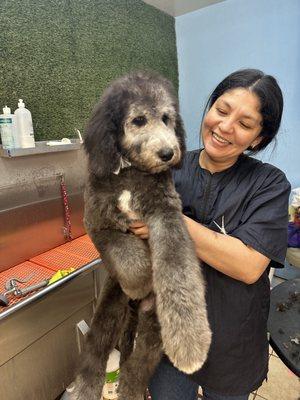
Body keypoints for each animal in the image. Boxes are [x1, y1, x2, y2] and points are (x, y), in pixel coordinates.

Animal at [72, 72, 211, 400]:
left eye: (167, 118)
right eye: (138, 120)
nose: (168, 154)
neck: (129, 174)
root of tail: (139, 309)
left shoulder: (166, 215)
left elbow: (178, 270)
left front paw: (191, 339)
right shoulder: (97, 223)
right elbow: (126, 252)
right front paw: (140, 279)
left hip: (154, 329)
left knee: (137, 365)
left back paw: (130, 390)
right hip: (108, 309)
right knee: (95, 351)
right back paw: (84, 388)